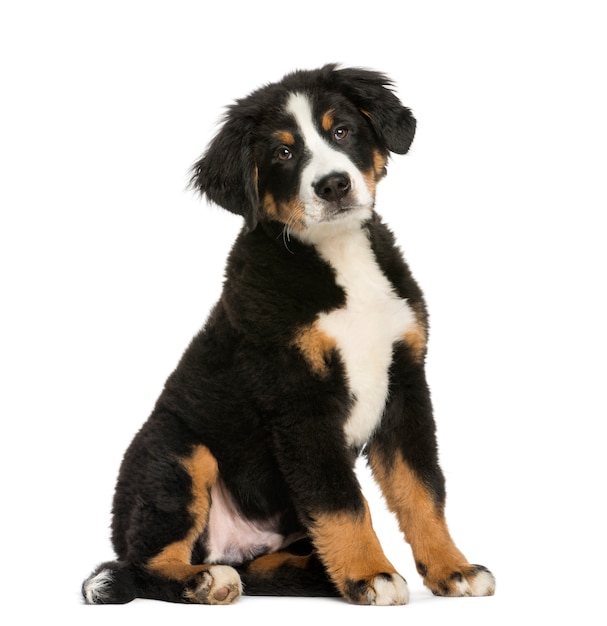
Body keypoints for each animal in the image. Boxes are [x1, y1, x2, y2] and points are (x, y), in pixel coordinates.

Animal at [83, 64, 496, 604]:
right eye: (282, 153)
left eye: (341, 131)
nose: (334, 185)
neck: (339, 257)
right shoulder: (299, 400)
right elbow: (342, 501)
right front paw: (370, 574)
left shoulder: (405, 383)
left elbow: (422, 488)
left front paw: (453, 568)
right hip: (177, 453)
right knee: (145, 562)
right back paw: (206, 580)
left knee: (259, 568)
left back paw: (309, 573)